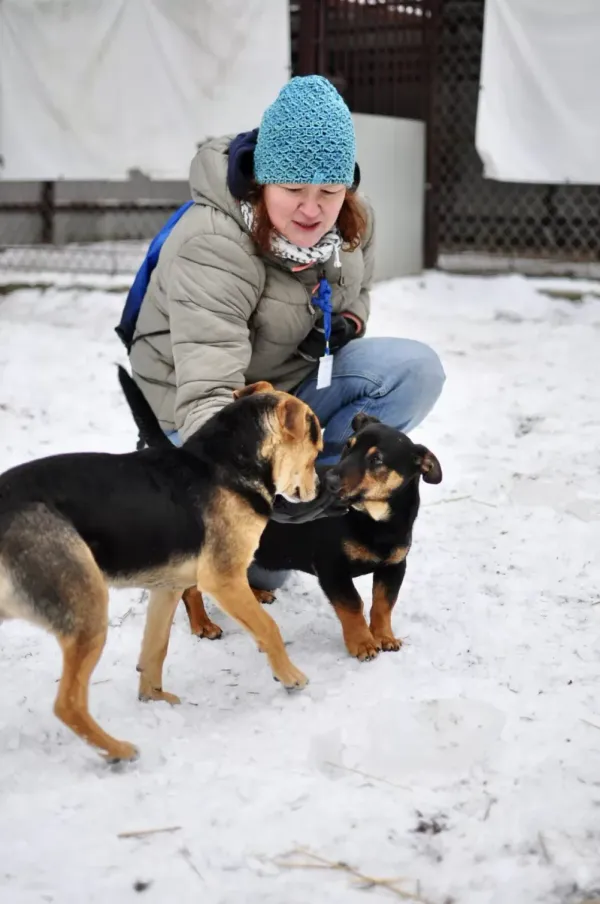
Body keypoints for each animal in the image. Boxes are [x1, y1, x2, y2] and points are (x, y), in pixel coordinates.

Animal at [0, 370, 324, 760]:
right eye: (316, 452)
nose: (322, 490)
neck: (228, 461)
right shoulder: (225, 579)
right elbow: (269, 628)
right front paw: (290, 677)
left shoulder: (166, 590)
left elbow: (155, 648)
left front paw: (152, 698)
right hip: (89, 610)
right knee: (68, 704)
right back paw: (118, 751)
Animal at [119, 368, 442, 664]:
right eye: (347, 448)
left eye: (376, 460)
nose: (329, 482)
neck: (373, 520)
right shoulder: (332, 568)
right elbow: (353, 605)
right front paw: (362, 643)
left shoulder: (395, 566)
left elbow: (383, 603)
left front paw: (385, 636)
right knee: (190, 590)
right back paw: (203, 623)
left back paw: (256, 594)